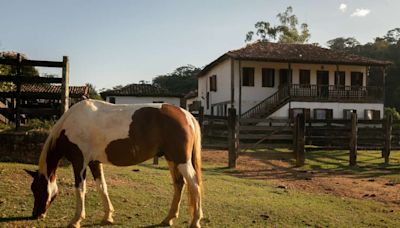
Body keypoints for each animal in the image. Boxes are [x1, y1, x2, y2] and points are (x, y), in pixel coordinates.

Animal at [24, 100, 203, 228]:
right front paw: (107, 217)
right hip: (172, 159)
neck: (70, 124)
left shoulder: (79, 162)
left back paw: (195, 221)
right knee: (179, 184)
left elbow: (80, 189)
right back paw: (168, 219)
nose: (35, 214)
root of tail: (186, 114)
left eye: (37, 189)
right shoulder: (94, 162)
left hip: (181, 160)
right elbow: (102, 186)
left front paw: (76, 220)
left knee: (194, 184)